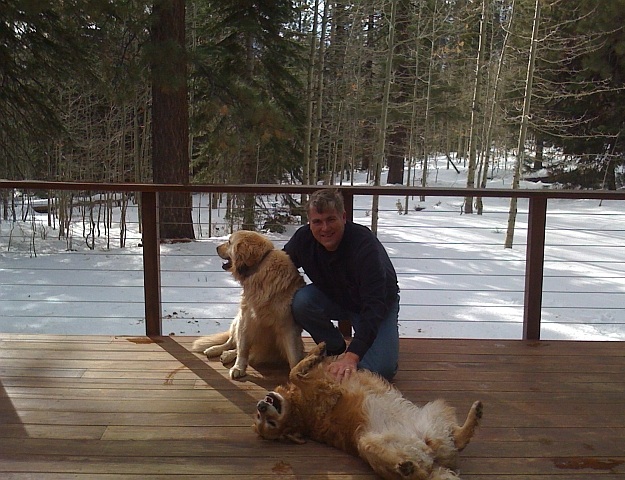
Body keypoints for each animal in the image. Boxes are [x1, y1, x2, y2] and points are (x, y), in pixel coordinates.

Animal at [254, 344, 482, 478]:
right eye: (269, 423)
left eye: (264, 419)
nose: (261, 406)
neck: (298, 410)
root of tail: (432, 460)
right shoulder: (327, 391)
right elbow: (294, 372)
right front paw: (314, 356)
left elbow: (297, 366)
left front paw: (317, 351)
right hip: (366, 444)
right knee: (417, 473)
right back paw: (406, 469)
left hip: (434, 411)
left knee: (456, 440)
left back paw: (475, 415)